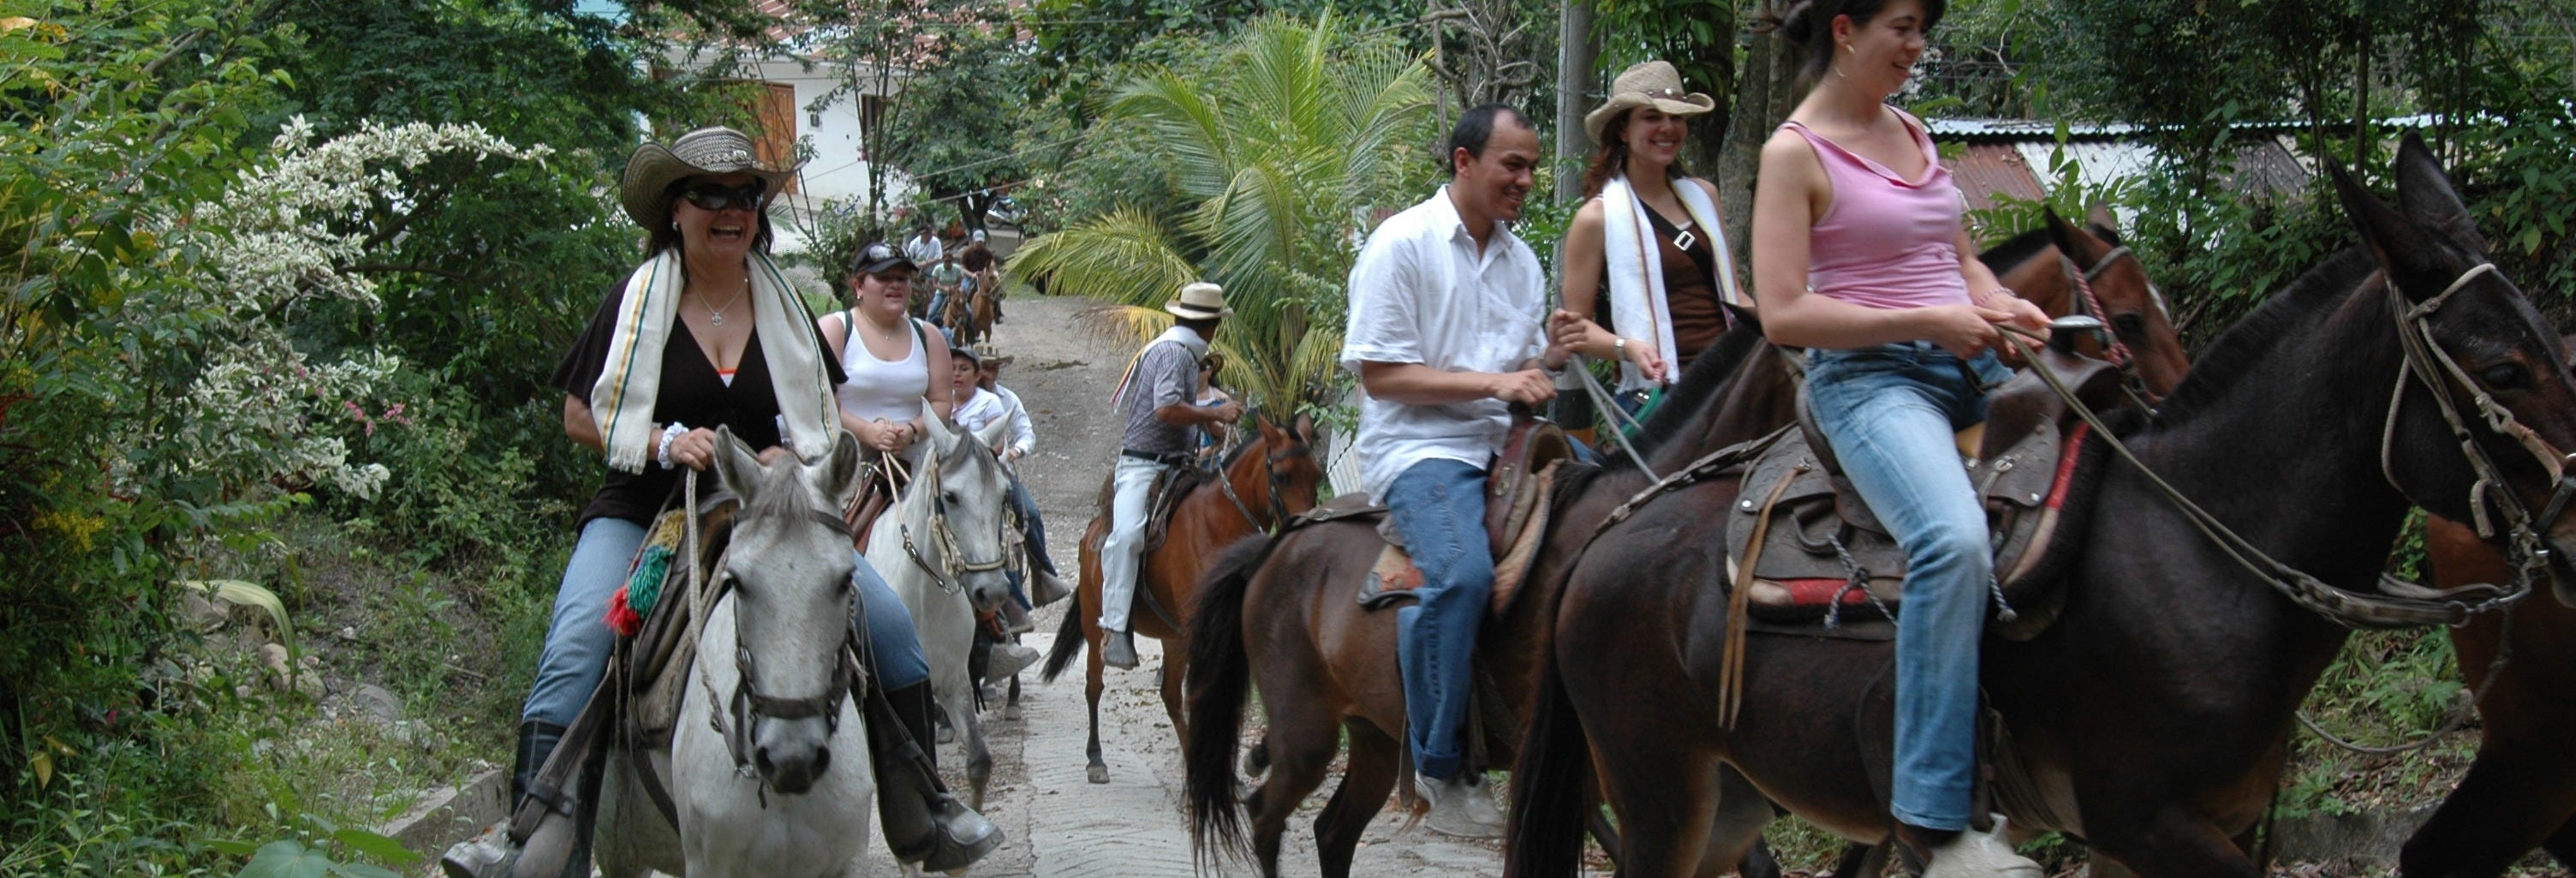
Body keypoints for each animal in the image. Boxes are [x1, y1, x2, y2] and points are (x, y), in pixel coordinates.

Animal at [597, 429, 880, 875]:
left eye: (845, 579)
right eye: (738, 581)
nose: (791, 758)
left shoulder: (849, 860)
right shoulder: (708, 865)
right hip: (619, 856)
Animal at [870, 406, 1020, 808]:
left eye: (1004, 494)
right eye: (950, 497)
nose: (992, 590)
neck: (924, 600)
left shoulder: (954, 680)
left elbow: (979, 762)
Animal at [1046, 414, 1329, 782]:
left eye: (1317, 475)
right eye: (1281, 476)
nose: (1307, 528)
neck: (1219, 523)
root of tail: (1092, 532)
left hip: (1174, 638)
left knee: (1169, 695)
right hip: (1096, 631)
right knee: (1094, 686)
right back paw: (1096, 759)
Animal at [1504, 136, 2576, 875]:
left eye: (2551, 347)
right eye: (2500, 370)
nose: (2572, 530)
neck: (2203, 555)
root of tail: (1604, 537)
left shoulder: (2165, 833)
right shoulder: (2150, 820)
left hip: (1730, 798)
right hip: (1657, 791)